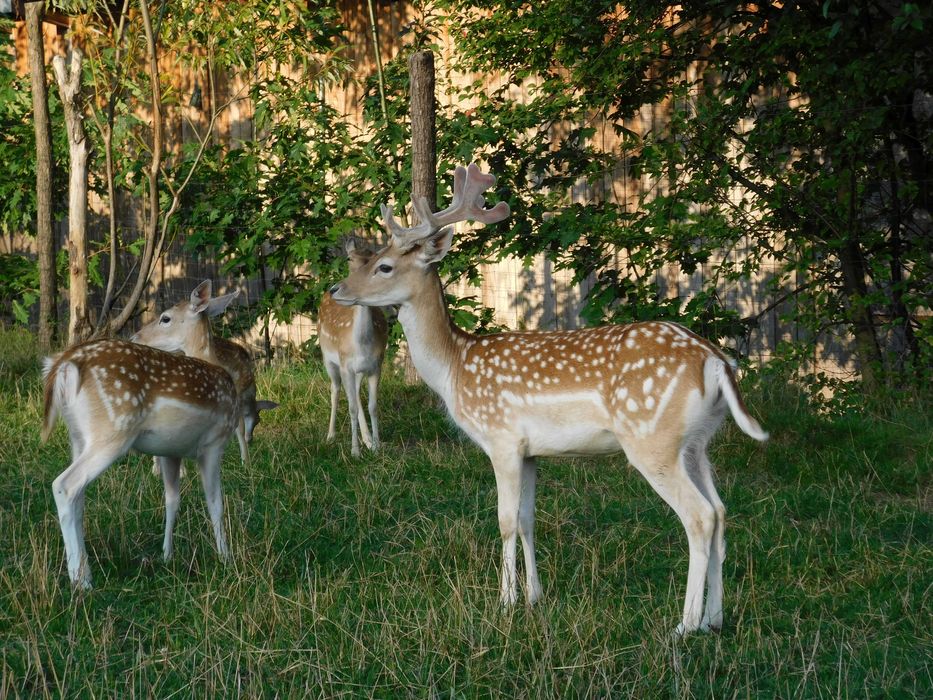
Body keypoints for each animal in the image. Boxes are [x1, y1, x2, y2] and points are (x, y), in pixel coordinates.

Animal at [318, 241, 388, 460]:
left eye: (373, 257)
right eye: (349, 258)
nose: (341, 288)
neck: (361, 345)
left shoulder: (377, 365)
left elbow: (372, 406)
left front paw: (376, 446)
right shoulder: (344, 364)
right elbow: (351, 408)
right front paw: (354, 451)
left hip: (356, 370)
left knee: (355, 394)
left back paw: (367, 439)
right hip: (329, 359)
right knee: (335, 390)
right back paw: (330, 436)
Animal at [332, 163, 768, 636]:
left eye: (385, 266)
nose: (336, 289)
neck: (455, 368)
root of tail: (717, 363)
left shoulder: (501, 439)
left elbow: (505, 521)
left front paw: (504, 602)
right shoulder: (531, 452)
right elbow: (527, 521)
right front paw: (534, 597)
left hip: (653, 440)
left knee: (699, 517)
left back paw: (685, 626)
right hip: (696, 443)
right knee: (721, 511)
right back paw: (715, 619)